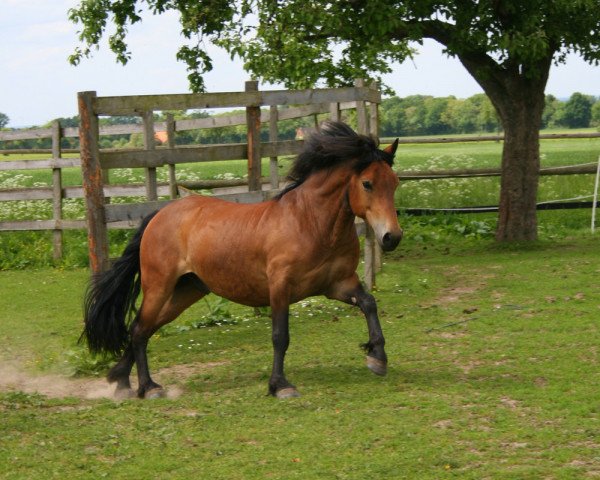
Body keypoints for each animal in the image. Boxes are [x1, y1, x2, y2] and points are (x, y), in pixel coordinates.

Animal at [82, 122, 400, 400]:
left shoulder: (338, 284)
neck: (311, 223)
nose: (391, 238)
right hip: (159, 286)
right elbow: (280, 335)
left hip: (188, 290)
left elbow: (369, 303)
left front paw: (377, 357)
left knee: (145, 327)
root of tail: (160, 214)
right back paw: (148, 387)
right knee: (138, 329)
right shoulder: (280, 287)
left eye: (395, 183)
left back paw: (121, 380)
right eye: (367, 183)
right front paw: (280, 386)